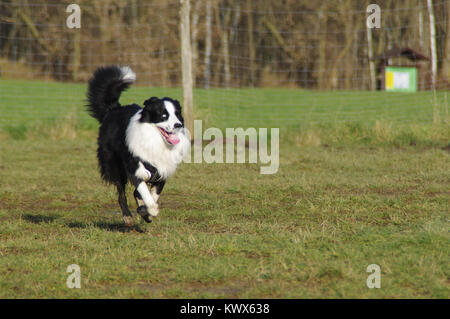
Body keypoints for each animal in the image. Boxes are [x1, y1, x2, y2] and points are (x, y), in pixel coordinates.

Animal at [86, 65, 190, 226]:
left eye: (177, 114)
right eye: (163, 115)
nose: (178, 125)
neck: (157, 142)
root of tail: (113, 109)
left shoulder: (162, 172)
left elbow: (152, 196)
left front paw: (145, 212)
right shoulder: (135, 171)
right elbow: (147, 196)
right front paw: (149, 210)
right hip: (115, 166)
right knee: (121, 194)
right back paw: (128, 217)